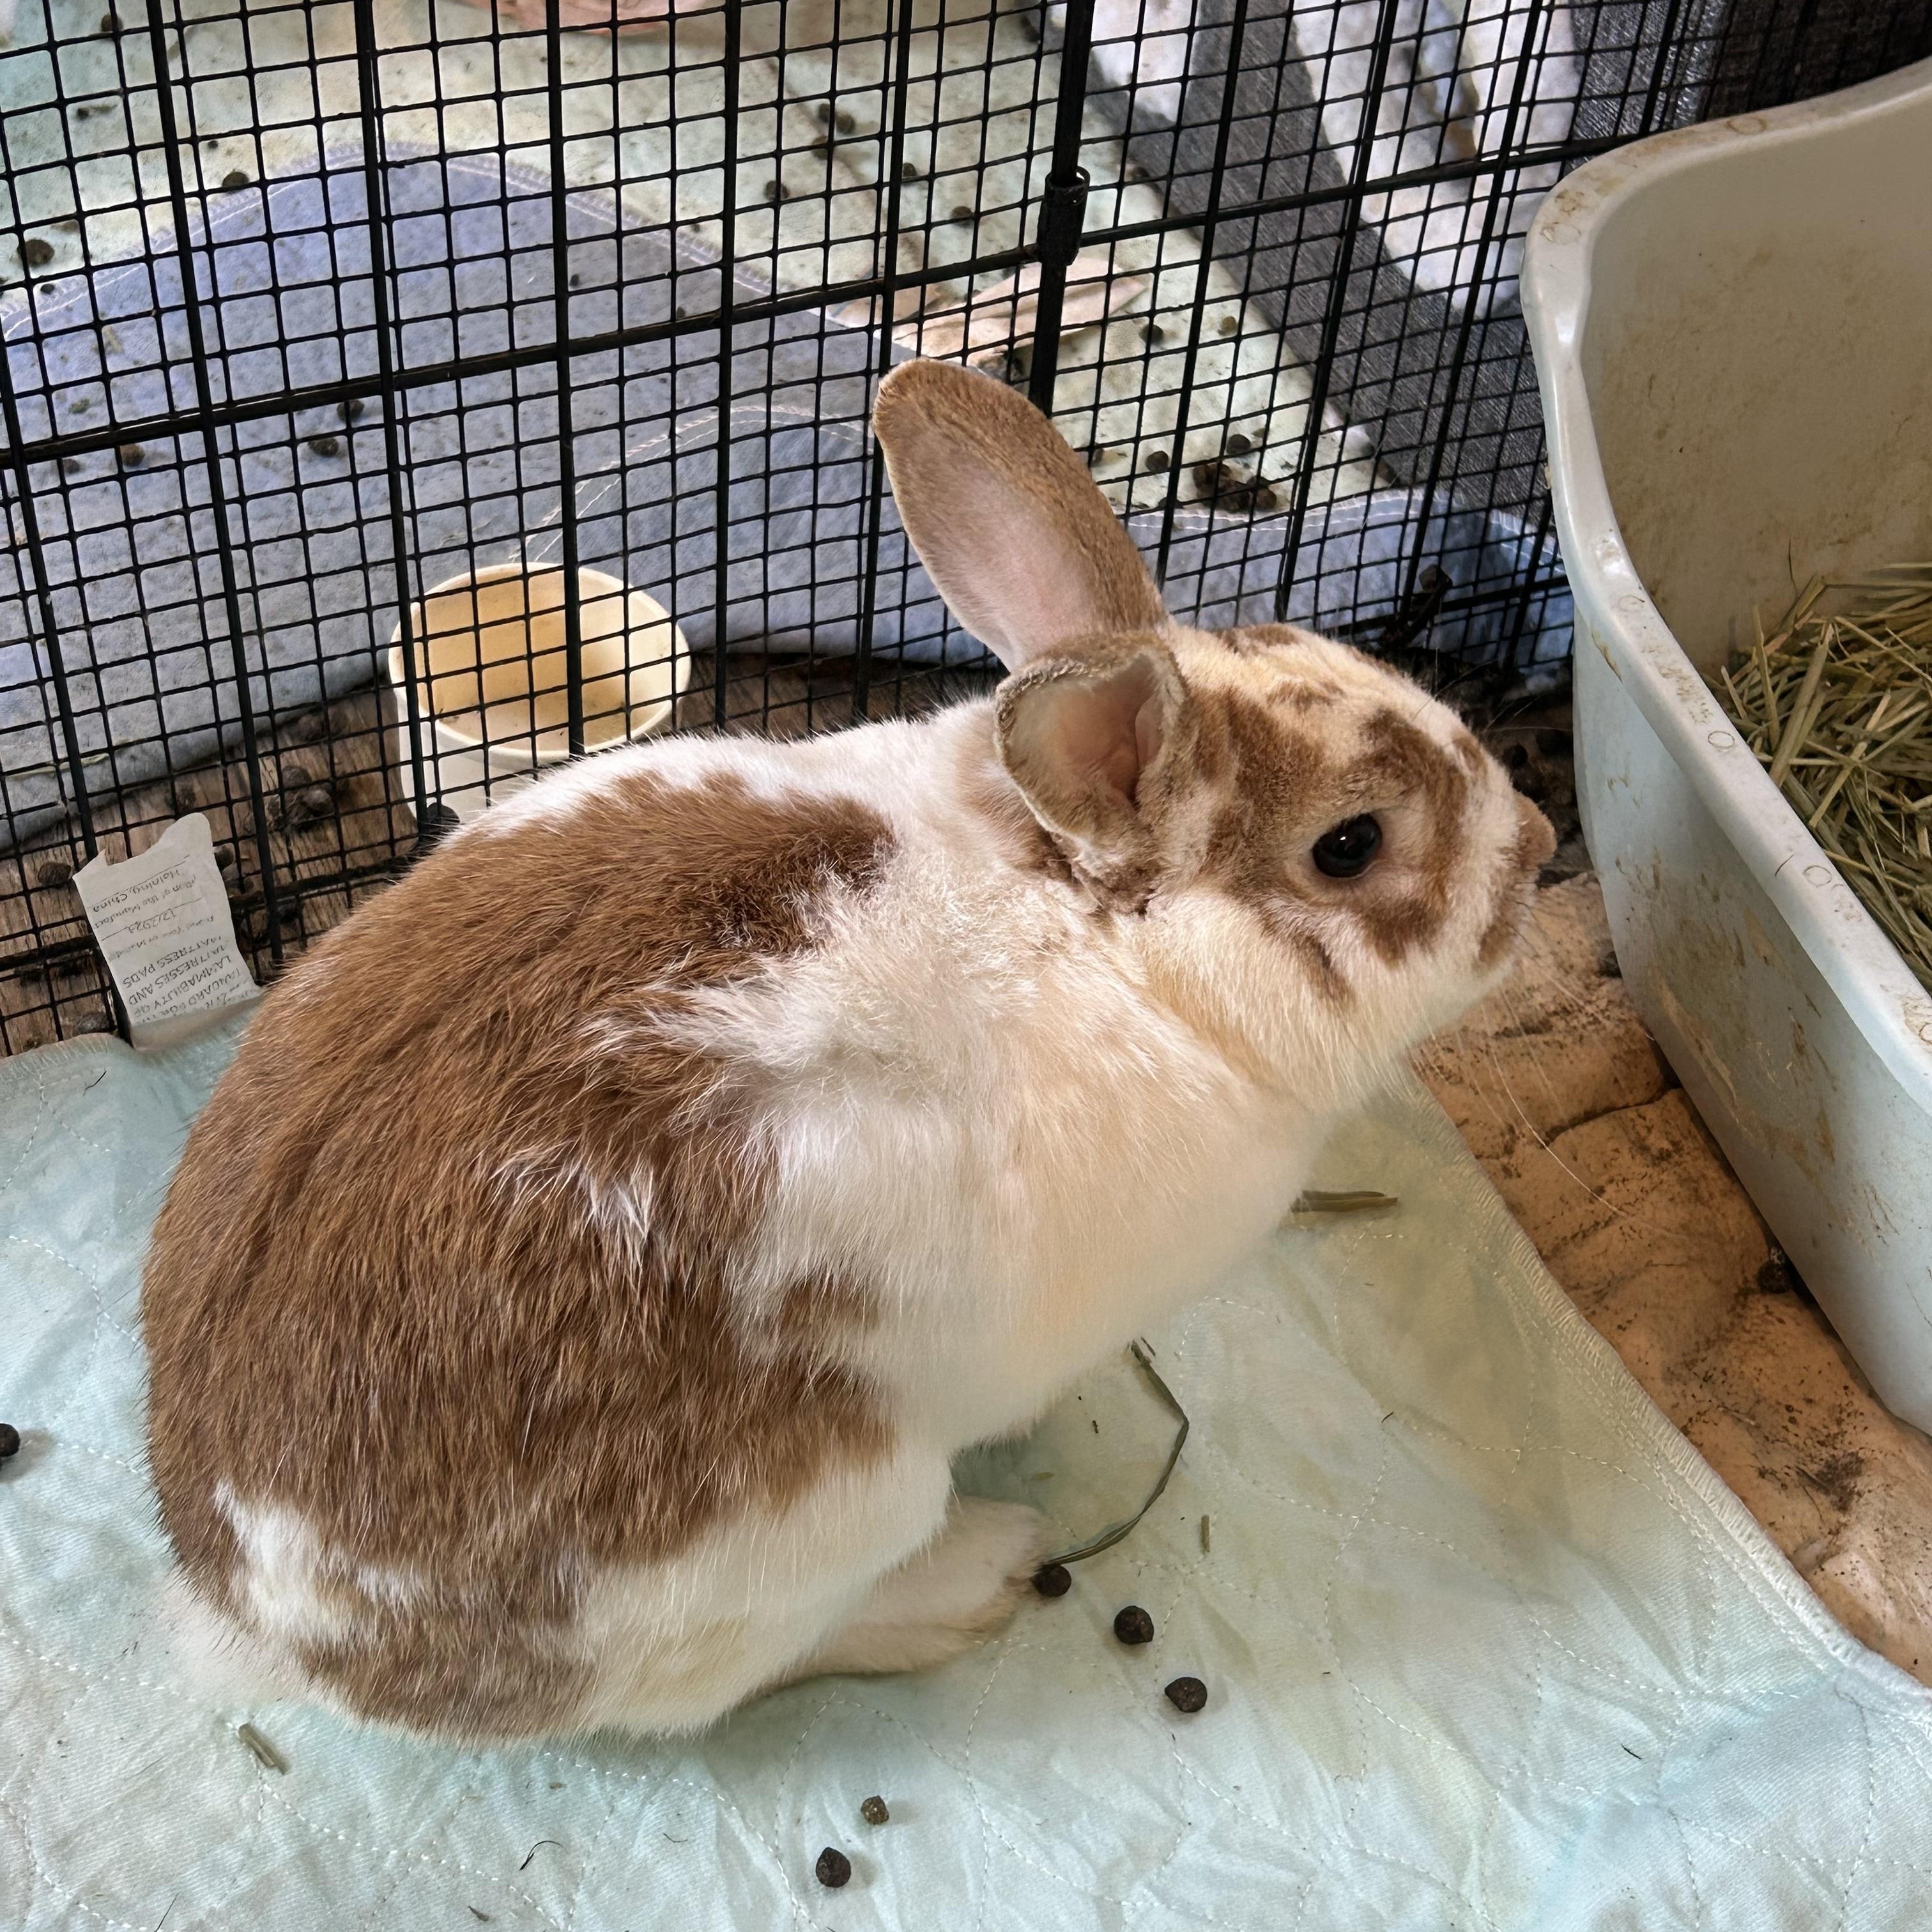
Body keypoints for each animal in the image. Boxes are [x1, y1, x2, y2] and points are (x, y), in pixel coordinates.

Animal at [142, 357, 1554, 1743]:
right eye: (1349, 846)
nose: (1540, 847)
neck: (1099, 933)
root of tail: (267, 1621)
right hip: (816, 1521)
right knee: (748, 1674)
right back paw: (973, 1574)